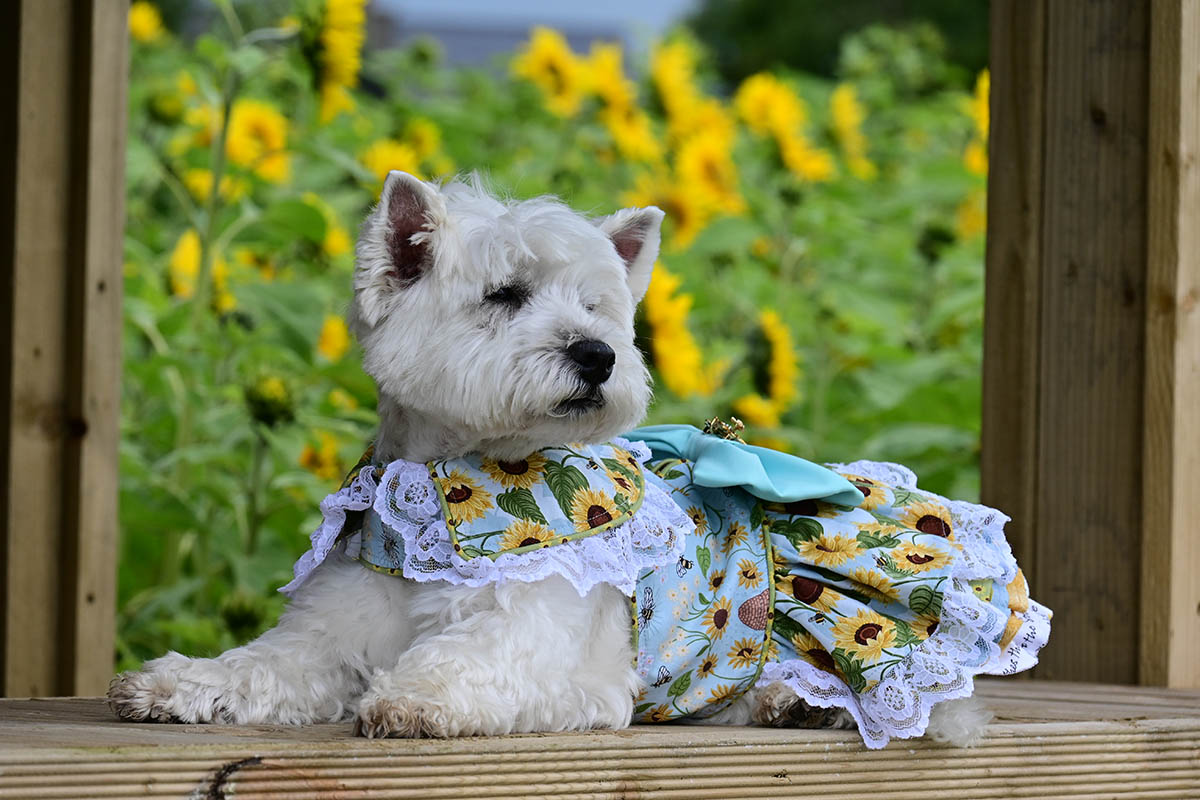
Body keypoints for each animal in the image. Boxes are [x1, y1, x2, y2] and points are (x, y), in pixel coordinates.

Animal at [110, 172, 1041, 748]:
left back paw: (798, 699)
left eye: (597, 307)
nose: (597, 355)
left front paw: (412, 699)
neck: (452, 490)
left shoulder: (558, 655)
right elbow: (261, 665)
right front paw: (175, 684)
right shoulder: (328, 632)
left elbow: (467, 660)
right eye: (504, 295)